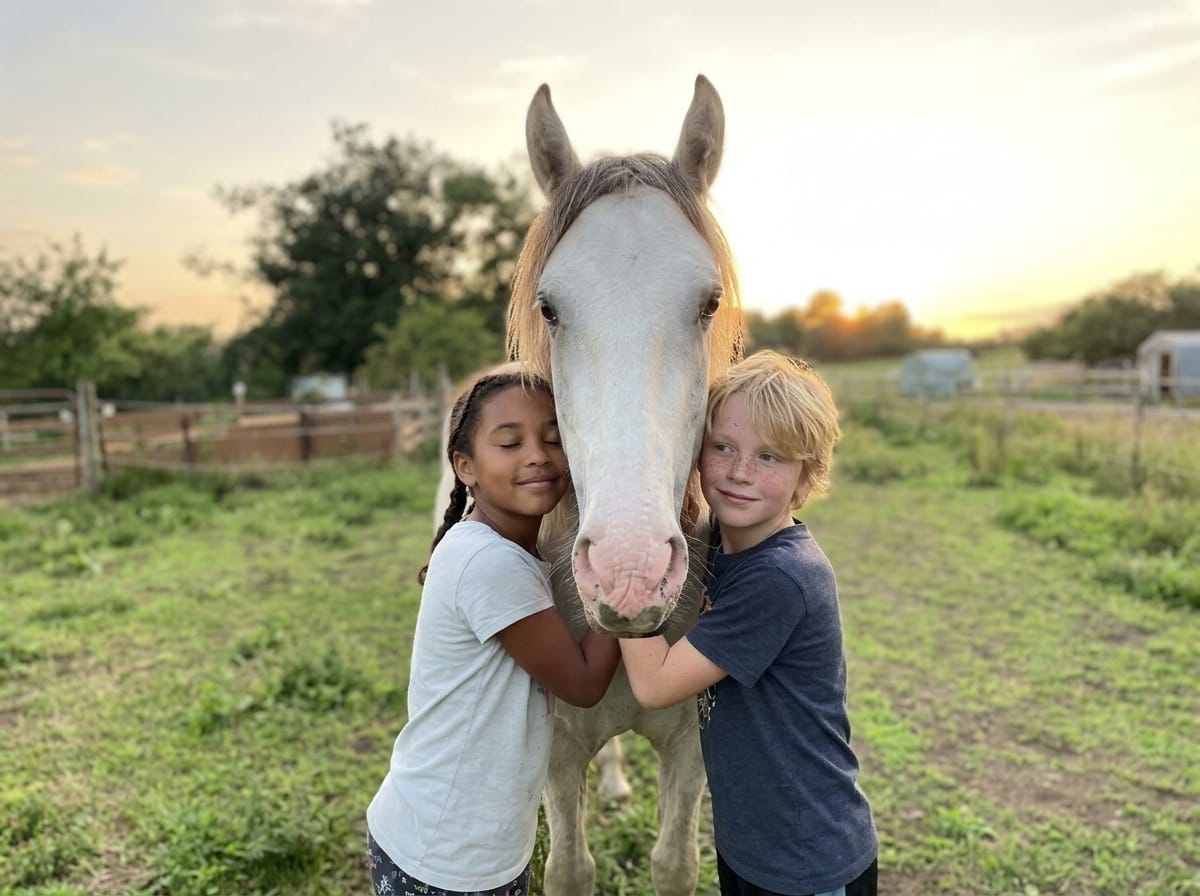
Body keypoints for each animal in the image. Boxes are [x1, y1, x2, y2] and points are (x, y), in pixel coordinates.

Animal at [436, 75, 744, 895]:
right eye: (549, 306)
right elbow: (572, 868)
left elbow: (675, 863)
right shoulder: (554, 752)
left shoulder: (693, 750)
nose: (629, 574)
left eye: (708, 303)